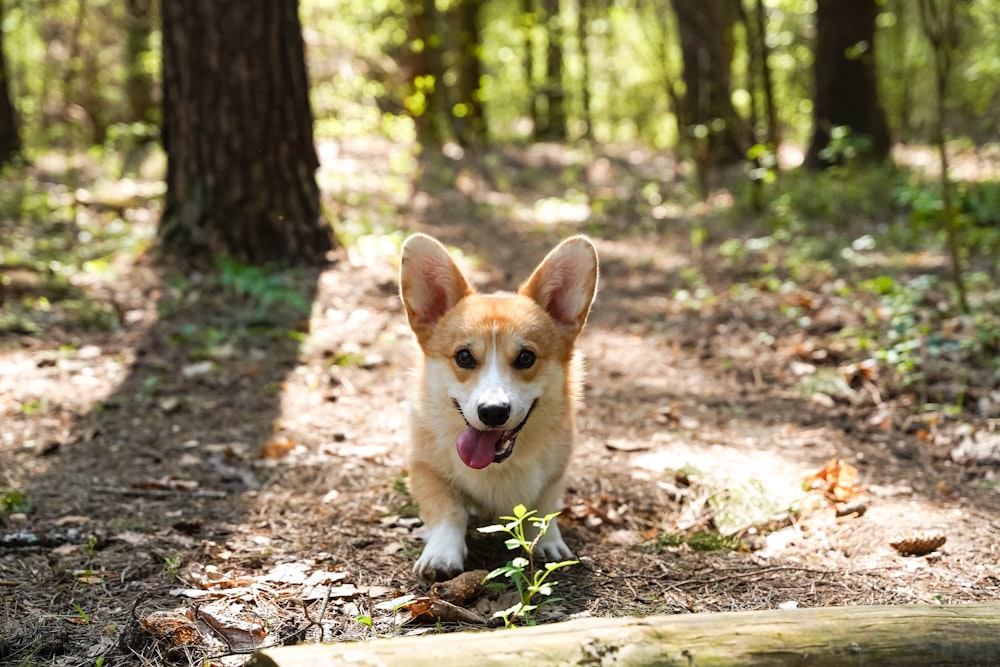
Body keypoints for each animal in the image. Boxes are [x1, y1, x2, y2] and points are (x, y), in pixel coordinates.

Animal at [398, 237, 596, 580]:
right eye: (464, 357)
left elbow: (544, 507)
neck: (496, 467)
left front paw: (548, 541)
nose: (492, 412)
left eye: (526, 357)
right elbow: (449, 510)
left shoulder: (557, 471)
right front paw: (441, 554)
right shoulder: (425, 467)